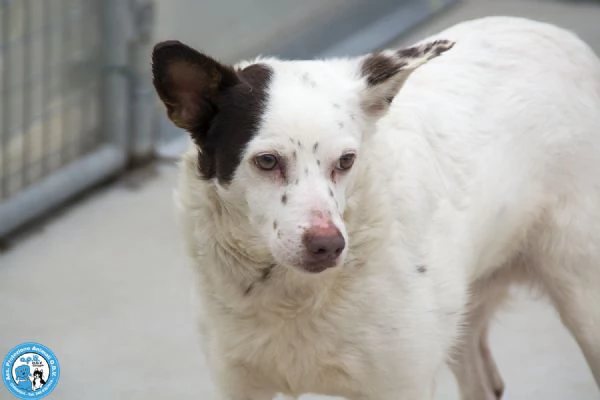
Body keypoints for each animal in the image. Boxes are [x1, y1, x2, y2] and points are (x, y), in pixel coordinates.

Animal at [152, 16, 600, 400]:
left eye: (346, 160)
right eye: (266, 161)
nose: (328, 245)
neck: (291, 296)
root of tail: (567, 40)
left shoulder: (402, 384)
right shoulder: (239, 384)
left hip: (583, 298)